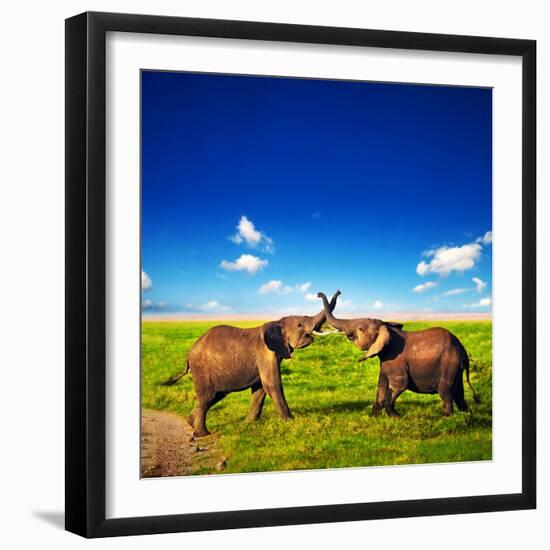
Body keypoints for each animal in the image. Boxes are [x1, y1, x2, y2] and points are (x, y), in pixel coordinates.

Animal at [161, 292, 340, 438]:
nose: (320, 293)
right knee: (207, 397)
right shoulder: (265, 353)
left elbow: (260, 389)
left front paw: (248, 424)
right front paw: (289, 421)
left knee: (215, 396)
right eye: (299, 325)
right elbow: (272, 385)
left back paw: (190, 422)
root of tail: (189, 353)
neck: (277, 322)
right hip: (202, 369)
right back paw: (203, 434)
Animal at [320, 294, 478, 418]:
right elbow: (381, 386)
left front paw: (397, 417)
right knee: (458, 391)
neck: (386, 328)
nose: (318, 294)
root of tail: (462, 350)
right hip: (455, 365)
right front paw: (374, 417)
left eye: (360, 329)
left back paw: (445, 417)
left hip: (449, 361)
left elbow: (400, 384)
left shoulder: (396, 361)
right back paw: (465, 414)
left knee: (445, 390)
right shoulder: (385, 362)